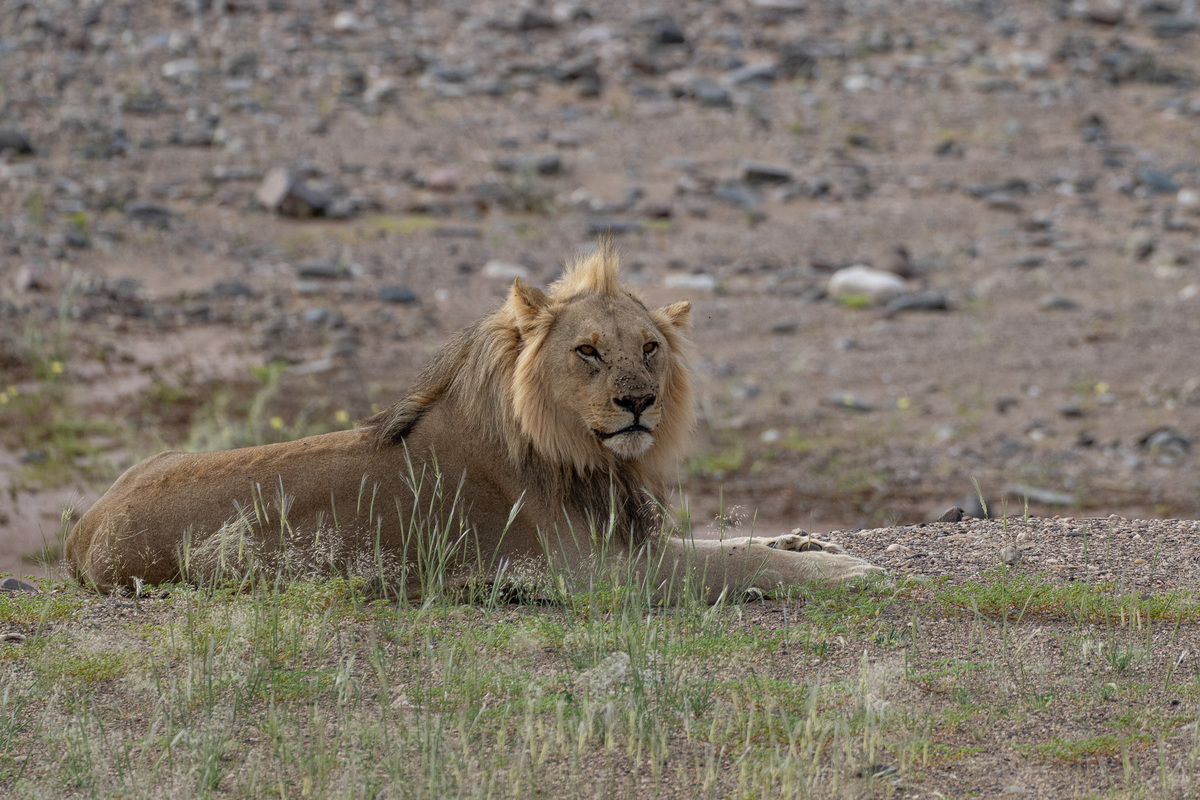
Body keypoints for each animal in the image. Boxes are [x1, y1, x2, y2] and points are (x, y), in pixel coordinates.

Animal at [65, 242, 880, 601]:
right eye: (588, 351)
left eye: (650, 347)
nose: (639, 402)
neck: (584, 455)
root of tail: (83, 525)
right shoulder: (601, 574)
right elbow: (733, 564)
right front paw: (843, 568)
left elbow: (732, 542)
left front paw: (806, 538)